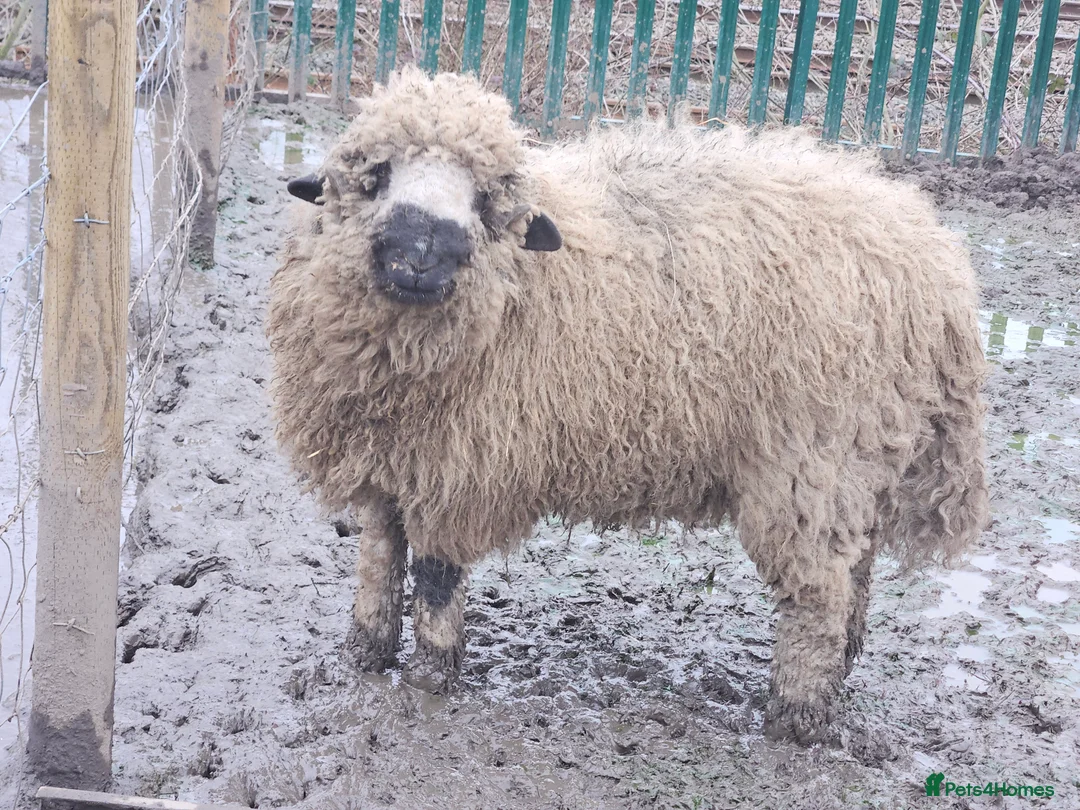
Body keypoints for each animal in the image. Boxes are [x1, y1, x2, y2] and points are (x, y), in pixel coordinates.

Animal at [265, 65, 989, 744]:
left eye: (485, 198)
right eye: (375, 175)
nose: (421, 251)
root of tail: (936, 266)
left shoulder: (456, 471)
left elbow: (438, 576)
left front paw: (429, 677)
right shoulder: (389, 458)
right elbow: (378, 556)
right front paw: (364, 654)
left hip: (816, 458)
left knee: (819, 593)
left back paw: (797, 718)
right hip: (859, 463)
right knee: (857, 569)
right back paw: (840, 672)